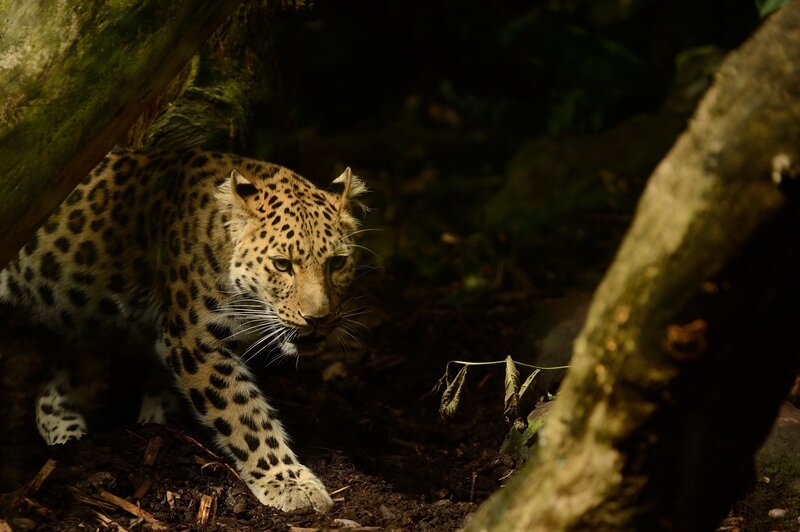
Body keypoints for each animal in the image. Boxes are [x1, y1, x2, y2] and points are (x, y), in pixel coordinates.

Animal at [0, 147, 367, 512]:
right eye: (282, 265)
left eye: (337, 263)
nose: (318, 318)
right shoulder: (194, 340)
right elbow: (244, 414)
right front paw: (288, 481)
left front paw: (156, 427)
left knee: (51, 392)